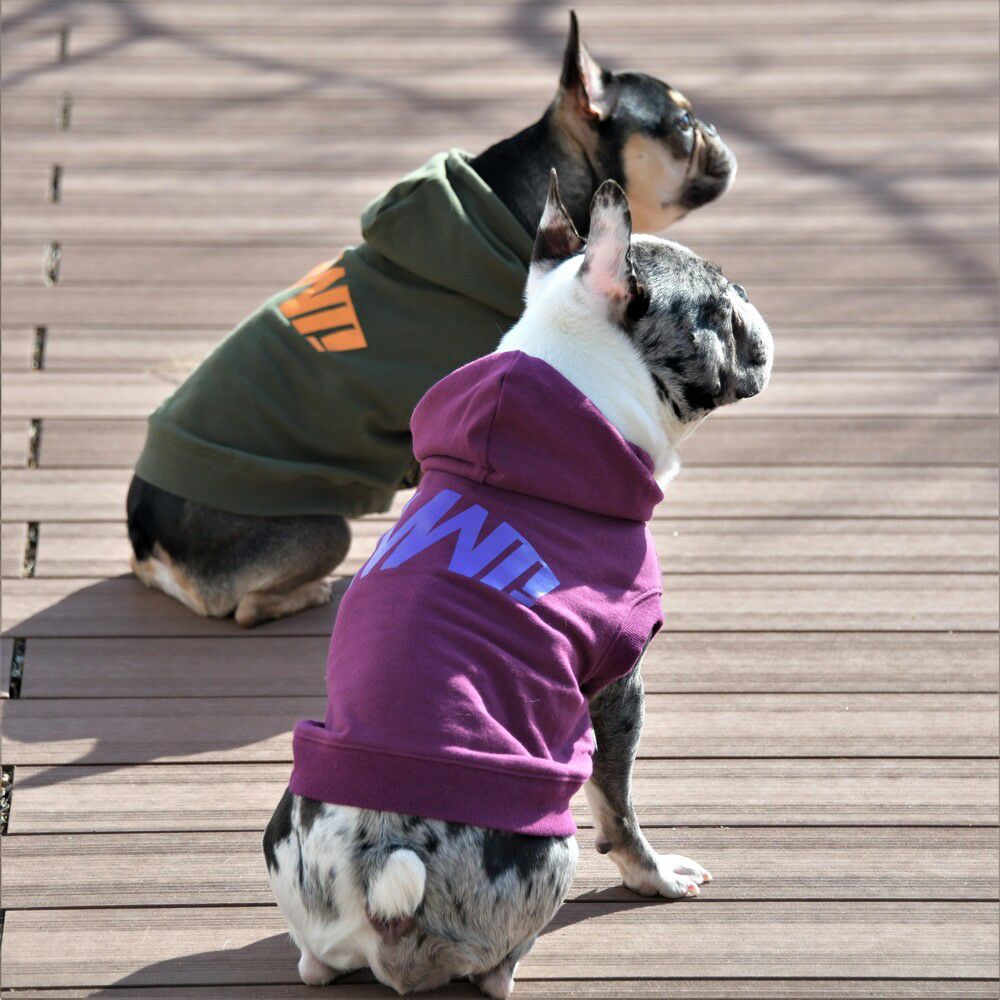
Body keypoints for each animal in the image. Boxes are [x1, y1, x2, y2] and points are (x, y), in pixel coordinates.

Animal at [127, 12, 737, 626]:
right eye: (683, 124)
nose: (712, 126)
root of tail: (145, 538)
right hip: (323, 530)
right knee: (249, 607)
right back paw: (310, 592)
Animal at [263, 172, 773, 997]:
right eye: (723, 308)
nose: (756, 307)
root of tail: (374, 892)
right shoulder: (618, 681)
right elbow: (619, 807)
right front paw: (655, 876)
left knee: (313, 960)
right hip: (547, 836)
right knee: (499, 954)